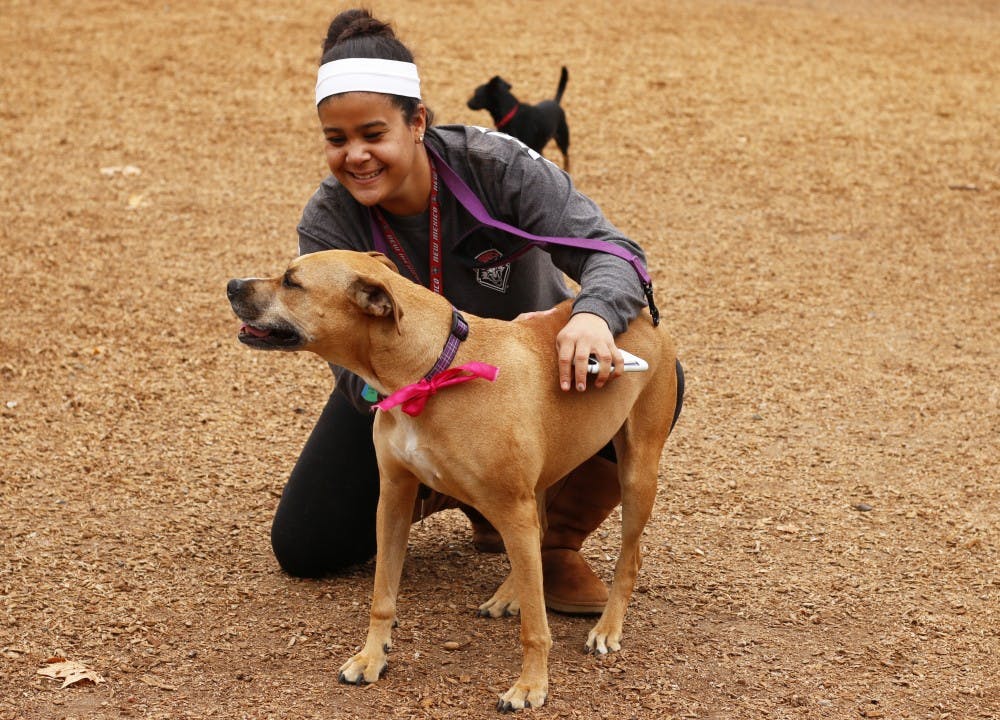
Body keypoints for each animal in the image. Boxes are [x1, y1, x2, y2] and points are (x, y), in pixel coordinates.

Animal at [227, 250, 680, 712]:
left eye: (292, 282)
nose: (231, 285)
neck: (431, 369)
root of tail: (644, 312)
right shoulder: (394, 497)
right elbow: (382, 596)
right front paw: (372, 657)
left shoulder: (511, 507)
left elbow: (536, 628)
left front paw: (531, 686)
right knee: (541, 536)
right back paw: (511, 593)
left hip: (636, 471)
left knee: (628, 557)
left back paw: (607, 627)